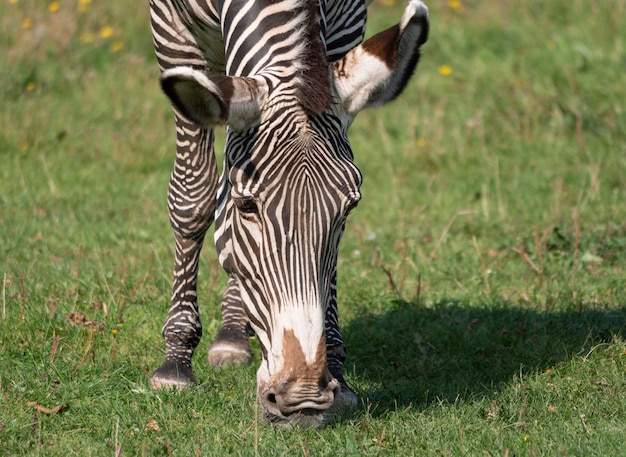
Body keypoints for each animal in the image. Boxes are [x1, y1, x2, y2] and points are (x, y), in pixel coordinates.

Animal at [148, 0, 426, 428]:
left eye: (349, 208)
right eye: (247, 206)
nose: (304, 398)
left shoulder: (346, 28)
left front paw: (338, 371)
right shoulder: (171, 29)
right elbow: (193, 197)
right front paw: (175, 362)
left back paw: (233, 330)